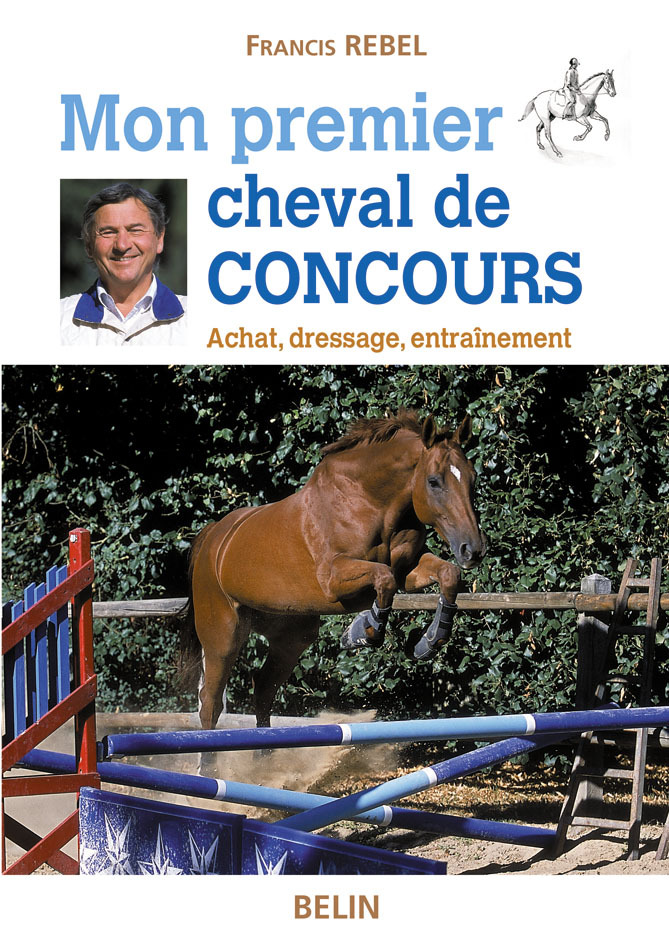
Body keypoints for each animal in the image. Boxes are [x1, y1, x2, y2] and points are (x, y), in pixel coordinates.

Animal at [181, 410, 486, 734]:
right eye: (433, 481)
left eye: (472, 478)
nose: (473, 550)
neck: (368, 501)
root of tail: (214, 537)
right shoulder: (333, 579)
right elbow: (384, 579)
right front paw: (361, 631)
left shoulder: (409, 568)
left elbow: (447, 574)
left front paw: (429, 641)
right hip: (223, 635)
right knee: (210, 703)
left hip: (291, 635)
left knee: (263, 689)